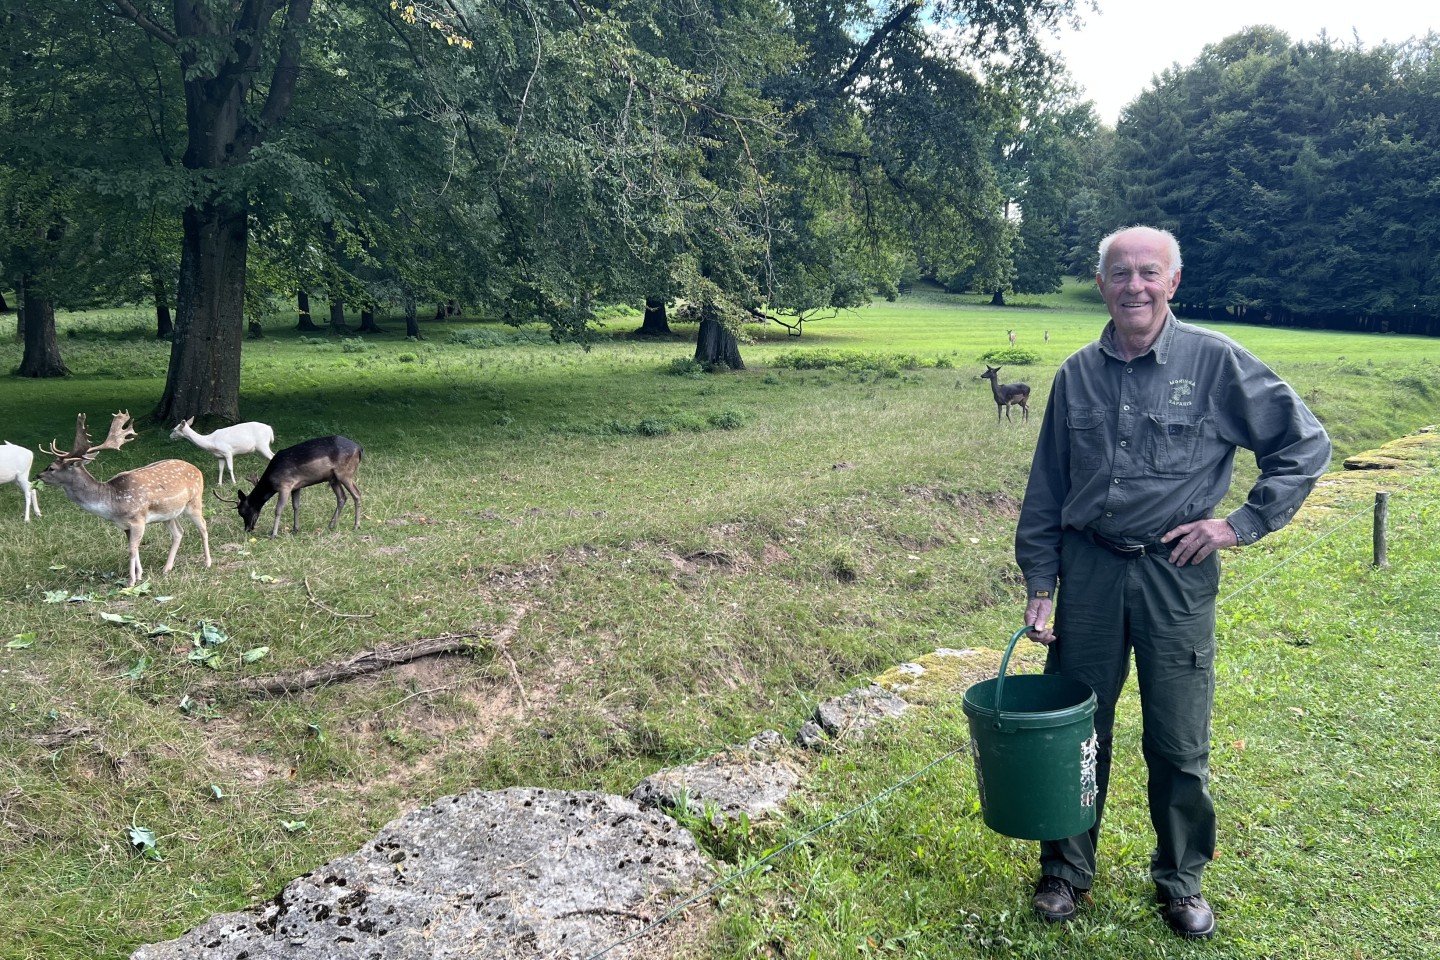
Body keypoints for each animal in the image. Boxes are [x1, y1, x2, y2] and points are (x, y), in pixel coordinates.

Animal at [35, 408, 213, 581]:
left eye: (51, 468)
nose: (37, 476)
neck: (111, 503)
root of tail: (197, 469)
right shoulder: (125, 526)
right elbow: (134, 548)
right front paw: (140, 575)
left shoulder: (138, 519)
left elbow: (132, 550)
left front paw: (131, 581)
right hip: (168, 514)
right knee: (178, 533)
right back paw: (166, 569)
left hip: (194, 501)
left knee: (203, 526)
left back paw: (207, 562)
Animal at [213, 437, 362, 538]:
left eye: (242, 512)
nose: (247, 529)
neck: (271, 481)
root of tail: (359, 449)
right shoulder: (296, 486)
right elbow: (296, 506)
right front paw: (295, 529)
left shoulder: (285, 485)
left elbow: (278, 509)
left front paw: (273, 534)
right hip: (333, 478)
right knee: (342, 497)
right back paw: (331, 525)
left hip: (345, 473)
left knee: (357, 494)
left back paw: (356, 526)